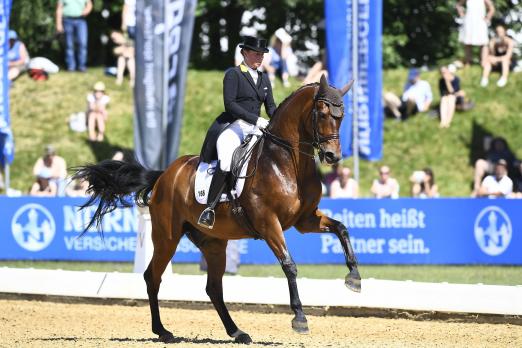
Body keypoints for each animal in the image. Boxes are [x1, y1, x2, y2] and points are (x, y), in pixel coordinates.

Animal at [74, 75, 358, 344]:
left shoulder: (305, 220)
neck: (286, 162)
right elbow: (289, 265)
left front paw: (354, 278)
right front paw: (299, 318)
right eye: (322, 113)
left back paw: (237, 332)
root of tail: (164, 174)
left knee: (213, 288)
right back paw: (163, 331)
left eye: (341, 116)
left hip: (213, 243)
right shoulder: (268, 222)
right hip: (167, 237)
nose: (333, 156)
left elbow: (341, 228)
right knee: (152, 277)